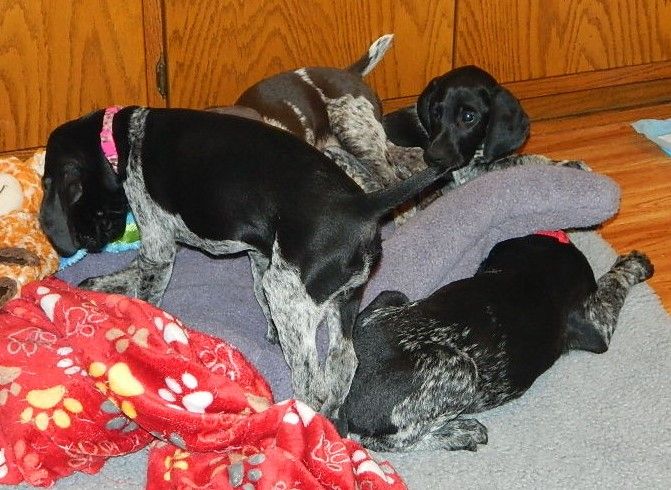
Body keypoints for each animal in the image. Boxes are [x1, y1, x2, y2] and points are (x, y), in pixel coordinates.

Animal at [38, 106, 453, 417]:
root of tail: (362, 204)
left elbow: (145, 291)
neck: (120, 139)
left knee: (311, 381)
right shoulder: (258, 253)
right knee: (343, 361)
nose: (86, 244)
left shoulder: (158, 243)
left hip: (287, 293)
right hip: (343, 299)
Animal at [340, 232, 653, 451]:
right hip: (460, 369)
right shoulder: (596, 325)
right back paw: (459, 433)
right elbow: (613, 283)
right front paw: (634, 264)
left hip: (392, 297)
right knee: (380, 442)